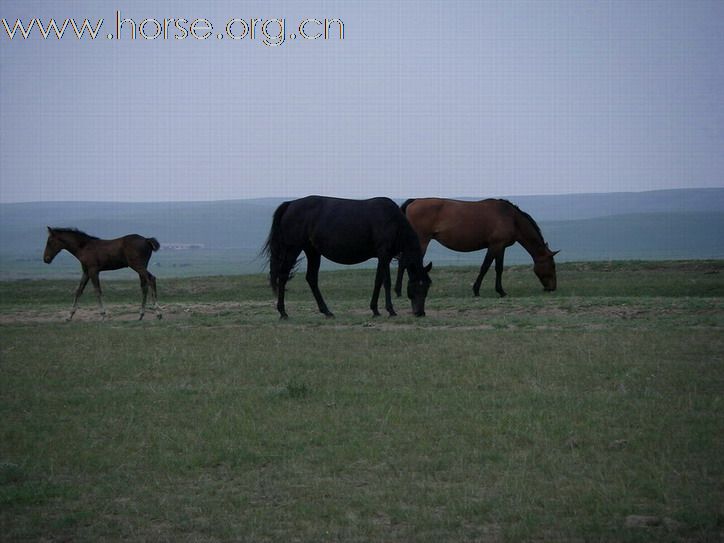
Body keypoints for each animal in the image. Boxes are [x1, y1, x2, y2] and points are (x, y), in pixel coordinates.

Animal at [264, 198, 430, 318]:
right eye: (419, 285)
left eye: (428, 286)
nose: (420, 313)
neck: (393, 221)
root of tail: (290, 204)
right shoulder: (384, 254)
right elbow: (386, 282)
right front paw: (390, 310)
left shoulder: (383, 257)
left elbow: (378, 281)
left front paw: (375, 310)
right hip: (293, 248)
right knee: (283, 275)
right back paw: (283, 312)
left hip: (312, 251)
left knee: (311, 278)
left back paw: (326, 311)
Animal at [396, 200, 560, 300]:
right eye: (552, 265)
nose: (552, 288)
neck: (511, 217)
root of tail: (414, 201)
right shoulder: (495, 246)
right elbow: (485, 267)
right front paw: (477, 290)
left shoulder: (501, 248)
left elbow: (499, 268)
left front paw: (500, 291)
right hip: (420, 241)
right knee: (405, 263)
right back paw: (399, 291)